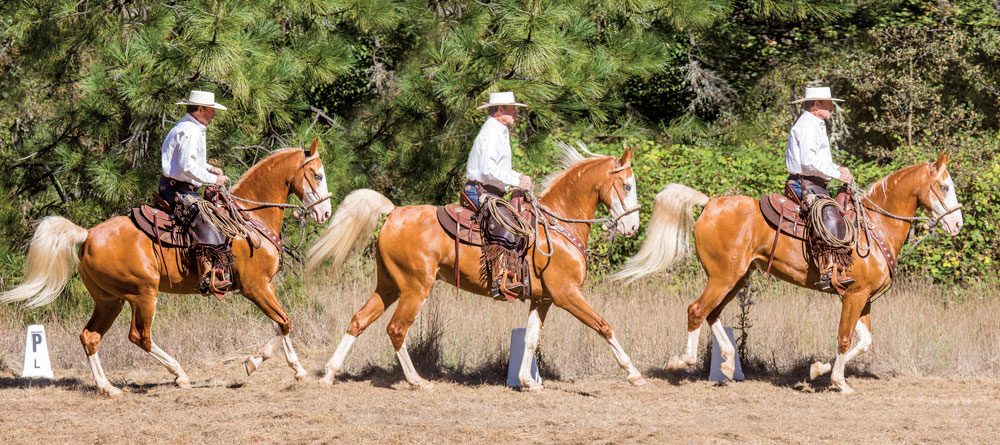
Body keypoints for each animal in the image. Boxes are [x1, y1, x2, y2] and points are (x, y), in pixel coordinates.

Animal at [0, 142, 336, 396]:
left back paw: (108, 387)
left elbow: (281, 323)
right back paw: (179, 374)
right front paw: (253, 363)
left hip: (110, 301)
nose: (325, 213)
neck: (249, 219)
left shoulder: (265, 286)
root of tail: (86, 234)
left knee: (90, 337)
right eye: (317, 175)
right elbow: (284, 323)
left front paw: (298, 370)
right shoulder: (255, 287)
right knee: (140, 337)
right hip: (143, 294)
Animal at [306, 146, 648, 388]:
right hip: (415, 287)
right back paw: (417, 381)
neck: (557, 227)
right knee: (397, 329)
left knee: (359, 320)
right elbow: (603, 325)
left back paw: (329, 374)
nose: (632, 226)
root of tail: (393, 213)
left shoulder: (543, 299)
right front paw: (633, 373)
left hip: (389, 285)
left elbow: (530, 338)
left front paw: (527, 381)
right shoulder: (567, 295)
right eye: (626, 185)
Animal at [612, 153, 964, 392]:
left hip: (737, 277)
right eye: (944, 186)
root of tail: (710, 203)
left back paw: (726, 362)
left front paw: (818, 370)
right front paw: (838, 382)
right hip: (723, 277)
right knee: (697, 310)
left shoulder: (864, 299)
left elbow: (864, 342)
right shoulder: (854, 295)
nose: (958, 224)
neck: (873, 228)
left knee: (712, 314)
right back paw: (681, 361)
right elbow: (845, 338)